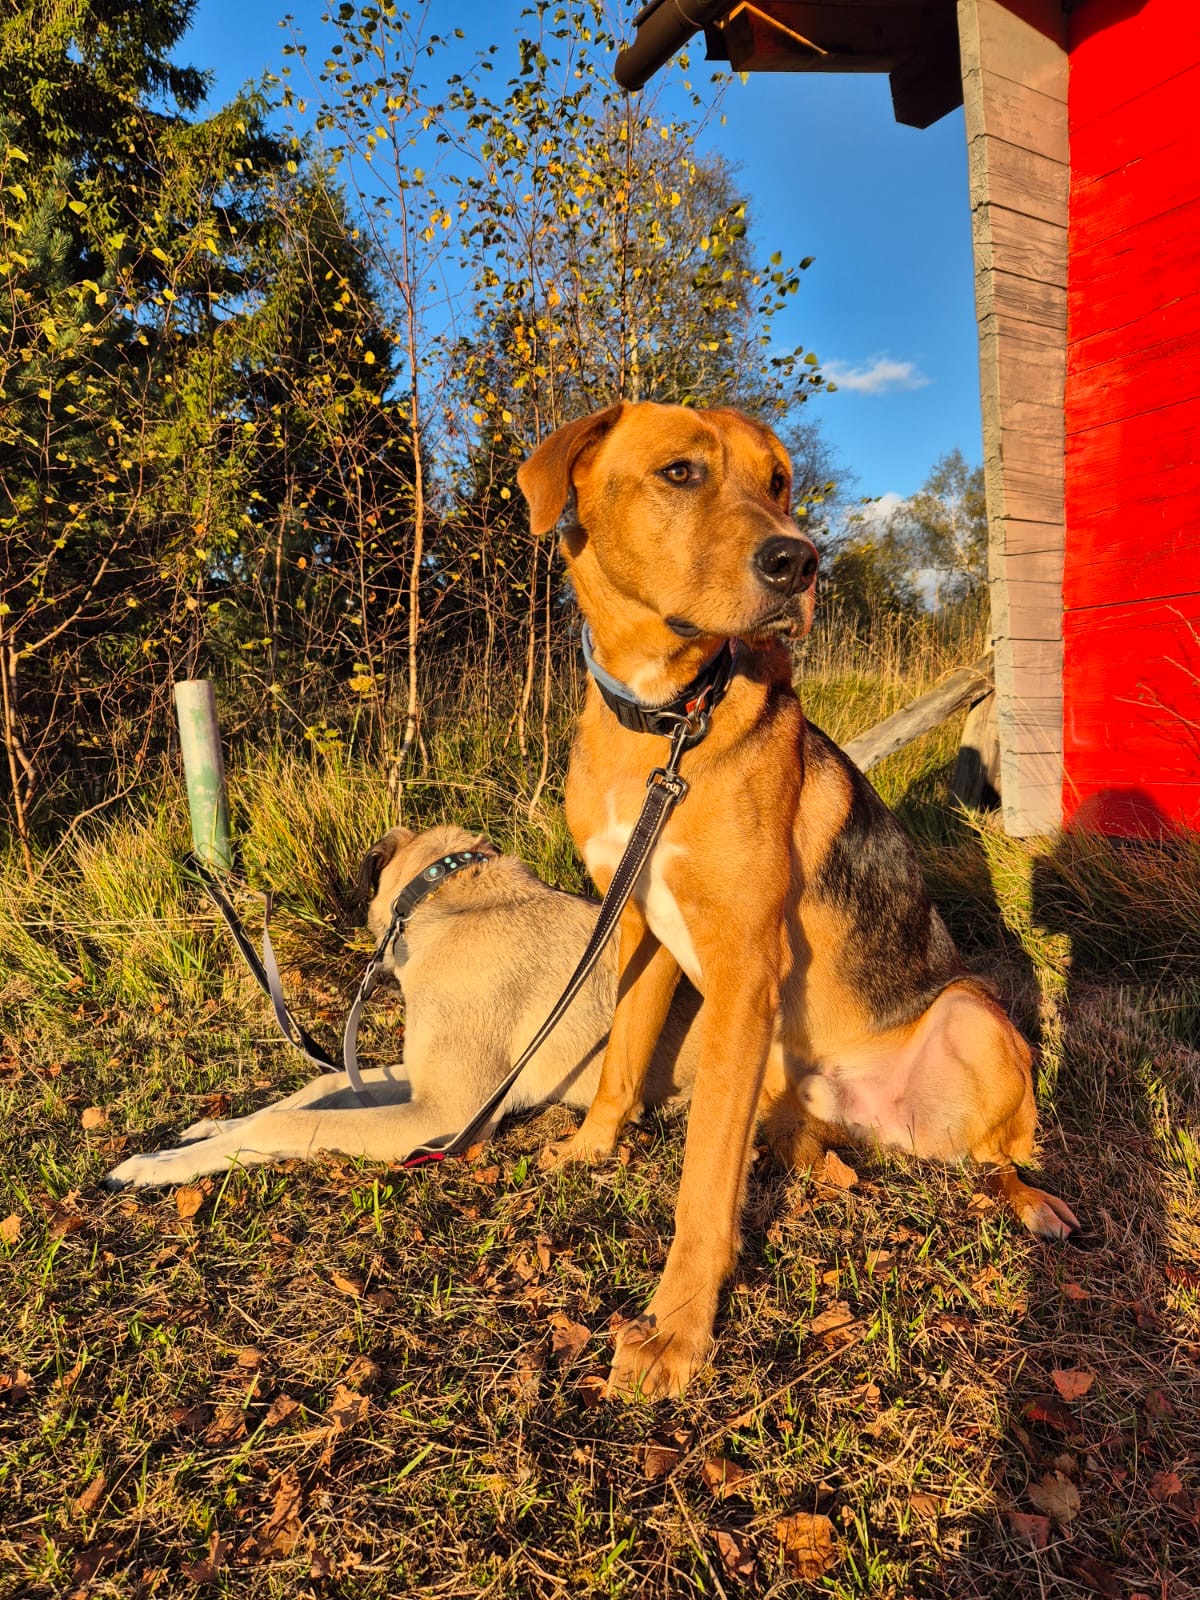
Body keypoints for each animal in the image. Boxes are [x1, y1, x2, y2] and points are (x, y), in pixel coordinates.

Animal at [103, 824, 700, 1190]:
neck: (447, 897)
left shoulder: (447, 1114)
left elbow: (284, 1125)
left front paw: (158, 1167)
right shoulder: (417, 1081)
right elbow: (319, 1085)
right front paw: (211, 1130)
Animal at [517, 400, 1078, 1399]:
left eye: (779, 481)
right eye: (680, 472)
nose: (801, 562)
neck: (667, 724)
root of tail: (879, 1122)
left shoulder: (744, 964)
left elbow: (703, 1180)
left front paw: (676, 1331)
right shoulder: (639, 928)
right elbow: (620, 1060)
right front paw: (590, 1148)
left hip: (972, 1018)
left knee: (1000, 1156)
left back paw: (1033, 1201)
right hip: (784, 1077)